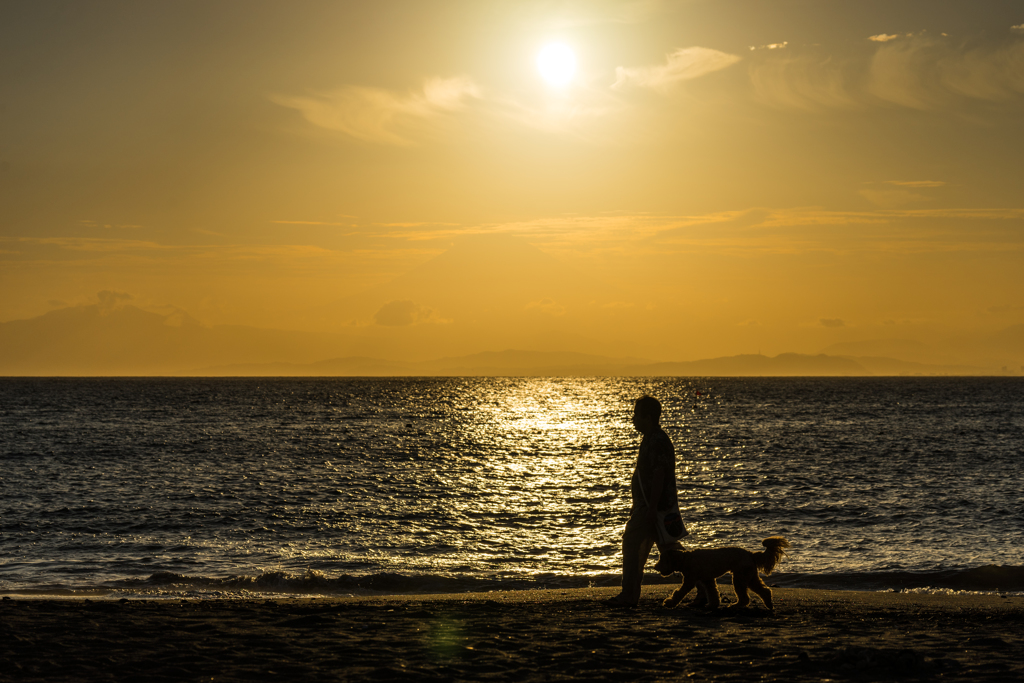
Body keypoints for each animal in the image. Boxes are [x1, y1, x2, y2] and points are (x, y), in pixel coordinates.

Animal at [651, 536, 786, 610]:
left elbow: (679, 593)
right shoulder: (708, 580)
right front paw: (713, 605)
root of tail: (750, 554)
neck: (685, 559)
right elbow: (713, 593)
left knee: (745, 598)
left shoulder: (690, 580)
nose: (654, 567)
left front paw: (669, 603)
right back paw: (768, 604)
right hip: (749, 577)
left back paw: (736, 605)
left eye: (661, 559)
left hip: (740, 577)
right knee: (764, 590)